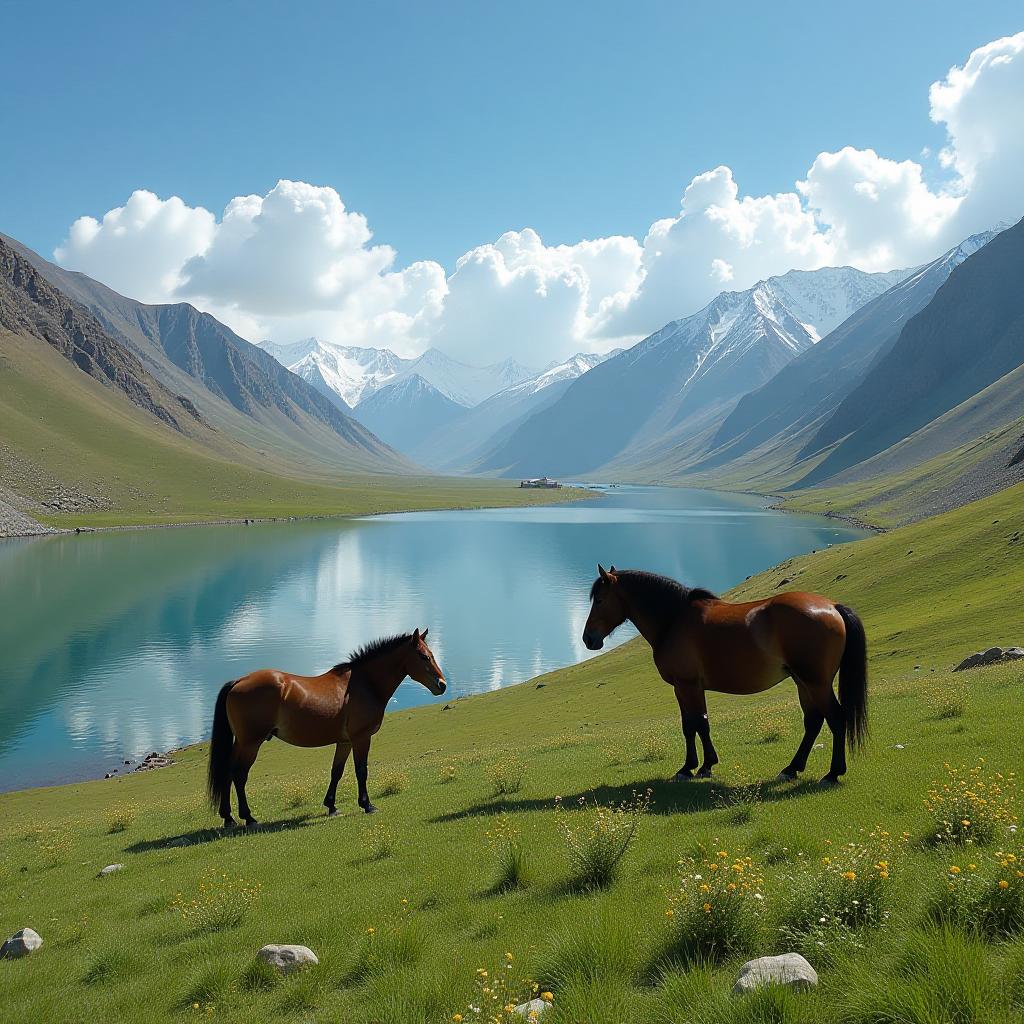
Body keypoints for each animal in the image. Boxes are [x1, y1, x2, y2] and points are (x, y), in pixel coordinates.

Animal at [206, 626, 444, 827]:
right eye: (424, 656)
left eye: (431, 654)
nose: (442, 685)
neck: (364, 684)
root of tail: (238, 681)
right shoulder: (361, 738)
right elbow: (361, 770)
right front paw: (367, 804)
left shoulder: (345, 741)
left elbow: (336, 772)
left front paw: (331, 806)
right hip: (251, 744)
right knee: (239, 775)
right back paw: (248, 817)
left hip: (241, 743)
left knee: (227, 773)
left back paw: (228, 818)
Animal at [585, 569, 864, 782]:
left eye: (599, 600)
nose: (588, 639)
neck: (674, 619)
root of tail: (832, 607)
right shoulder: (689, 688)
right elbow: (695, 724)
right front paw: (700, 766)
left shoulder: (686, 685)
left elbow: (695, 724)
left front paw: (694, 767)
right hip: (802, 682)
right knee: (813, 721)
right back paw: (791, 769)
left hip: (816, 683)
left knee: (836, 719)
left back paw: (832, 773)